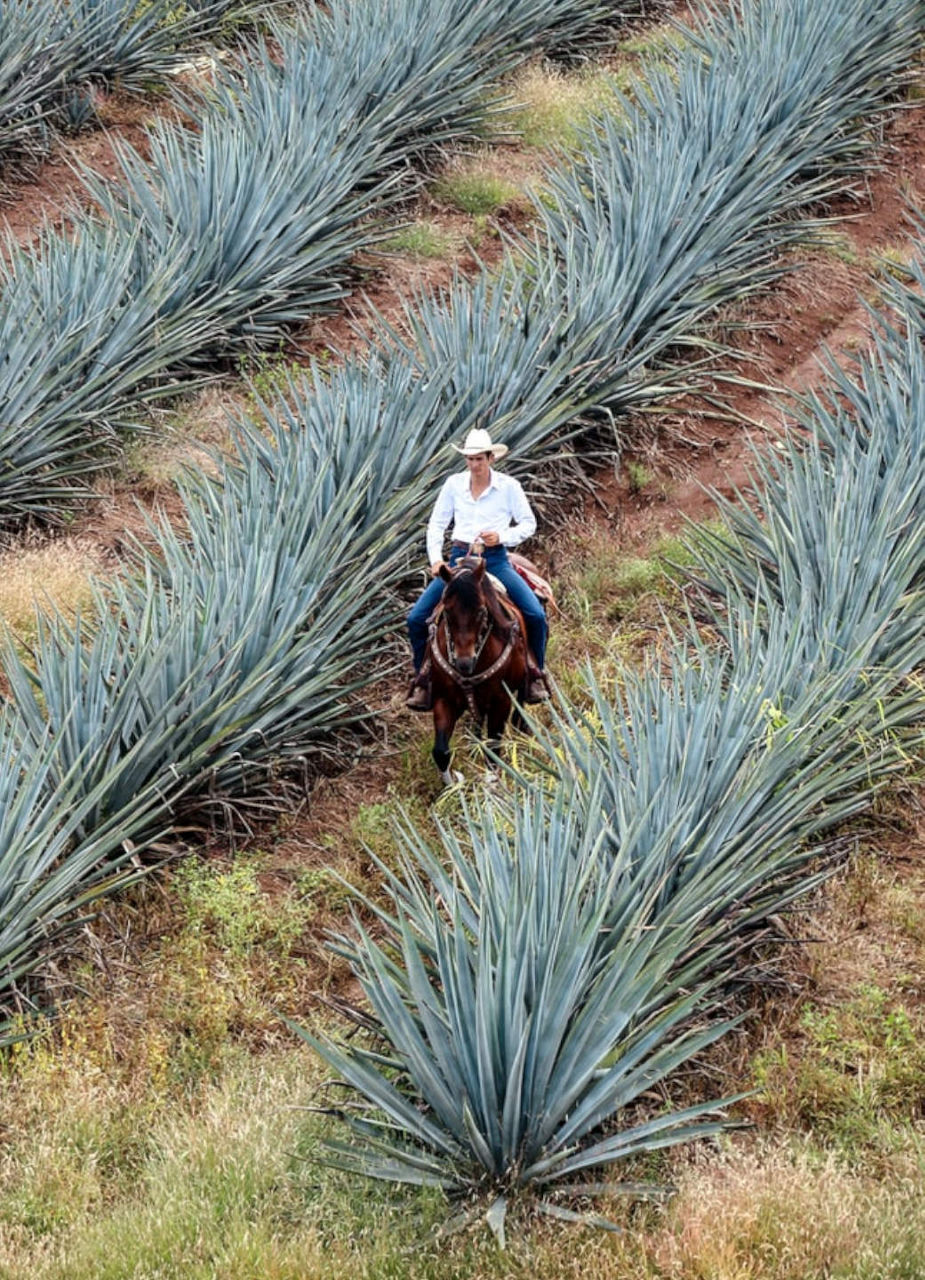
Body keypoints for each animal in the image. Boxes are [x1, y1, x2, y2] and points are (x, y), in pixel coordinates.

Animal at [427, 555, 527, 783]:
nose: (464, 663)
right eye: (447, 611)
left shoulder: (502, 701)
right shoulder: (444, 699)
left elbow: (493, 752)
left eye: (481, 610)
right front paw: (453, 787)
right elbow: (441, 752)